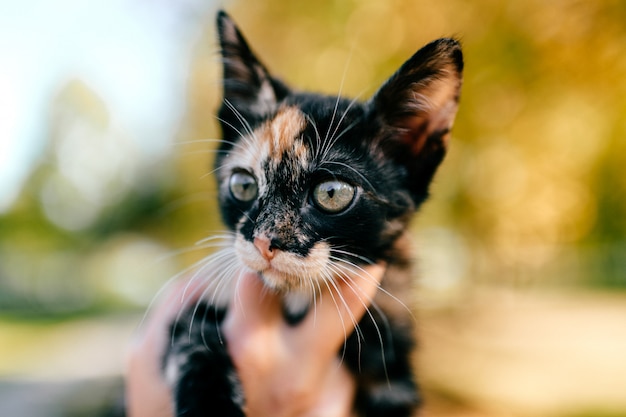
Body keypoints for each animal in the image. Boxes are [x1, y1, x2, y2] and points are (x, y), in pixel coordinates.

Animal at [163, 9, 460, 416]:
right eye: (243, 185)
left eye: (331, 193)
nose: (265, 241)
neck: (299, 302)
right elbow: (193, 339)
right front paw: (209, 405)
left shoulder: (394, 357)